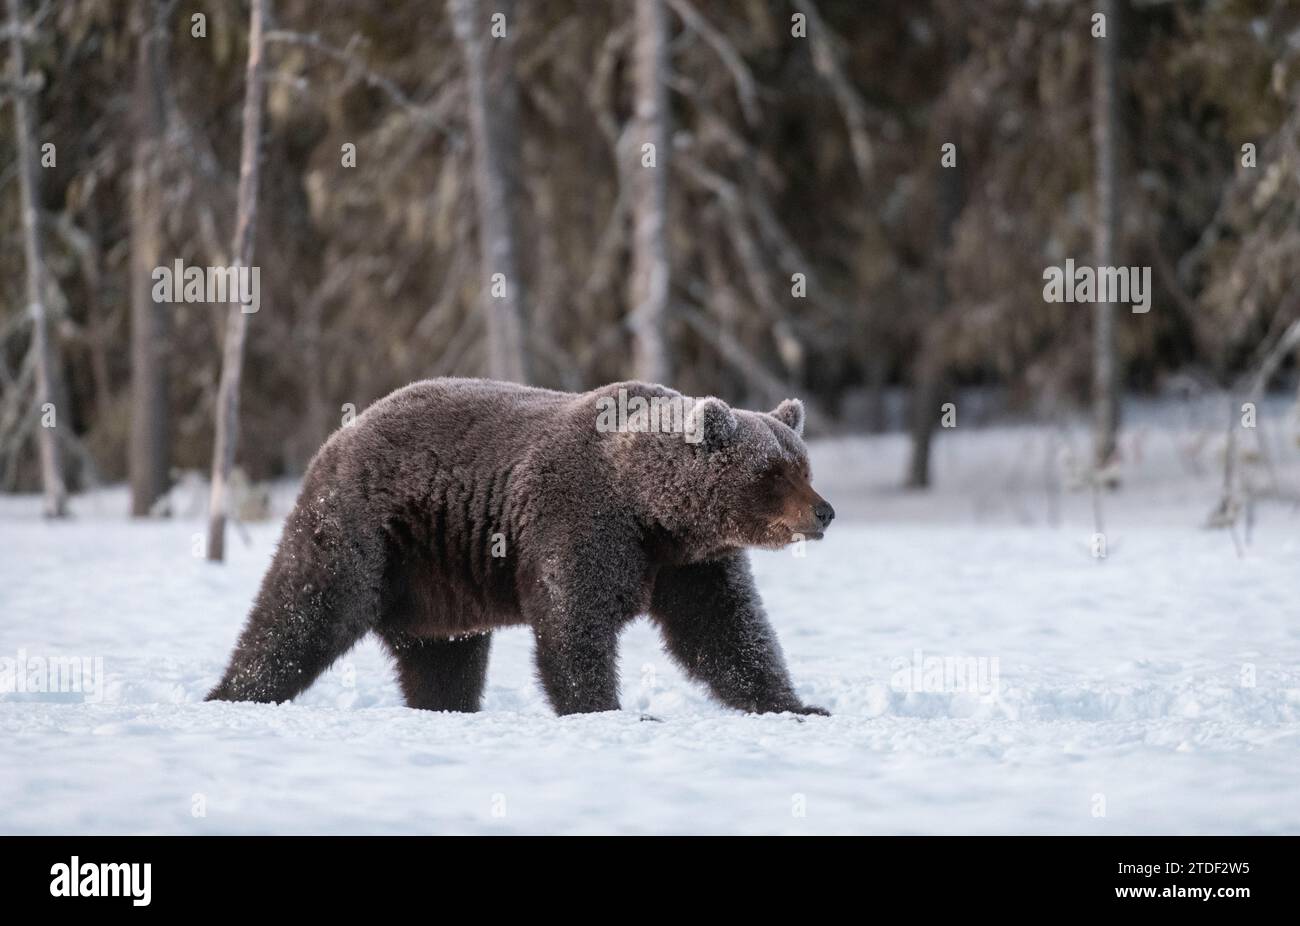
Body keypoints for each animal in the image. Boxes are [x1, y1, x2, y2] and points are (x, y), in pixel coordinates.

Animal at [202, 377, 832, 717]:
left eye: (803, 465)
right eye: (774, 473)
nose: (823, 512)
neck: (653, 513)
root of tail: (337, 438)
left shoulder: (691, 564)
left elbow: (725, 632)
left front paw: (798, 704)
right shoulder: (582, 521)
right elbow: (573, 621)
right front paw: (607, 708)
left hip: (436, 582)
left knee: (443, 656)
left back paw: (446, 704)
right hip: (367, 530)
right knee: (304, 609)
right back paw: (234, 692)